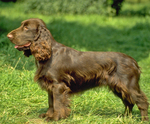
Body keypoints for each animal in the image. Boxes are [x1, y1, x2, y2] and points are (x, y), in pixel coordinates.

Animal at [7, 18, 149, 121]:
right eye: (22, 25)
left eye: (26, 28)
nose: (8, 36)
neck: (50, 53)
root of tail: (134, 62)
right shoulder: (50, 85)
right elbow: (51, 102)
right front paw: (48, 115)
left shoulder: (58, 85)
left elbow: (57, 103)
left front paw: (55, 118)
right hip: (118, 86)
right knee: (128, 102)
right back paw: (125, 117)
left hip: (128, 85)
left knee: (141, 101)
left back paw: (143, 120)